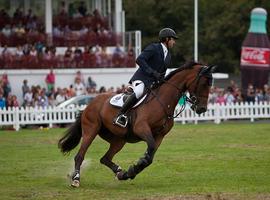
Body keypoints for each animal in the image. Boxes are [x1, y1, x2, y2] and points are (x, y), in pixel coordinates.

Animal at [58, 61, 215, 188]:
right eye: (204, 83)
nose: (202, 109)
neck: (164, 102)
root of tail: (90, 103)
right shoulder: (142, 129)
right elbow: (149, 153)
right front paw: (133, 169)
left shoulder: (159, 136)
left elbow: (149, 156)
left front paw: (131, 171)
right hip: (91, 131)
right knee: (80, 156)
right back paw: (76, 179)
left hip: (118, 140)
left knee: (105, 158)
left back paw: (120, 173)